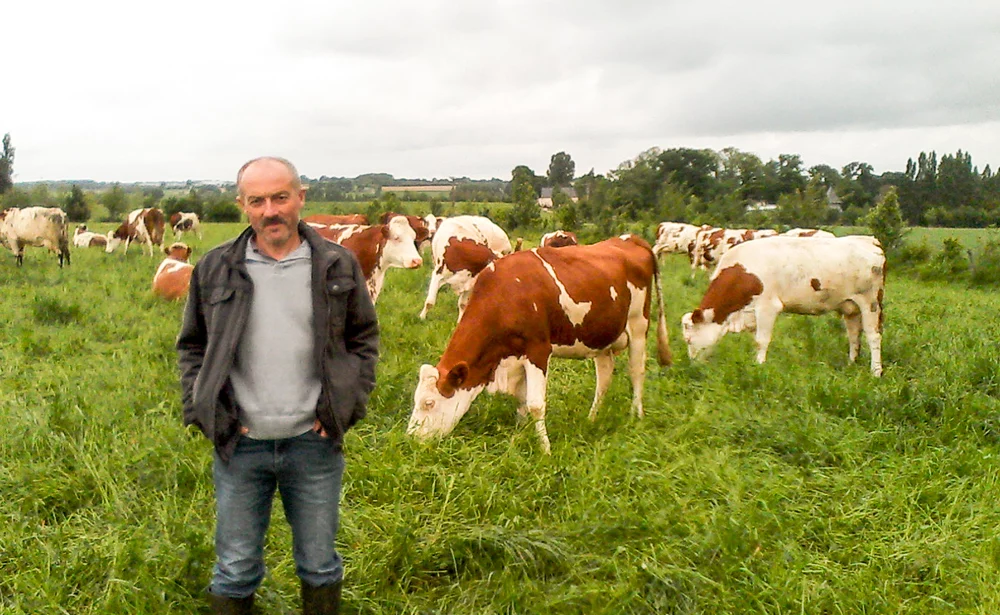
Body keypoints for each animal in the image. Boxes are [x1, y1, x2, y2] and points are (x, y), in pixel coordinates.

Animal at [406, 235, 672, 452]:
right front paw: (520, 434)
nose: (412, 439)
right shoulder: (516, 356)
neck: (506, 294)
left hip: (638, 325)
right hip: (601, 337)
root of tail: (630, 238)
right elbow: (522, 400)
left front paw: (545, 449)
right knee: (604, 378)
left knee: (636, 371)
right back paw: (592, 418)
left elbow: (535, 404)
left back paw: (635, 416)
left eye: (429, 403)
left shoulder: (538, 350)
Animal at [680, 237, 884, 376]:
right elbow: (755, 340)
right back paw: (851, 363)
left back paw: (876, 371)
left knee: (873, 336)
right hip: (850, 307)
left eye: (688, 340)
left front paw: (759, 366)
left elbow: (761, 340)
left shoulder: (767, 307)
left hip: (871, 303)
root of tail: (868, 240)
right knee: (854, 335)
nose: (692, 366)